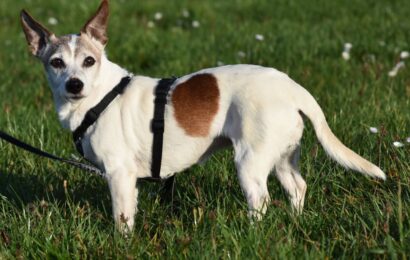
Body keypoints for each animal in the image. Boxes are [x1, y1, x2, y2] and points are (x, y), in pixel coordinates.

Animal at [18, 0, 384, 232]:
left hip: (250, 162)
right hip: (282, 156)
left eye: (89, 61)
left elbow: (123, 219)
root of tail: (292, 87)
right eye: (56, 63)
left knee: (261, 200)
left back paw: (253, 234)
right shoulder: (127, 179)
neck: (99, 97)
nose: (74, 84)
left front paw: (122, 245)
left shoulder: (119, 175)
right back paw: (296, 222)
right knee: (297, 187)